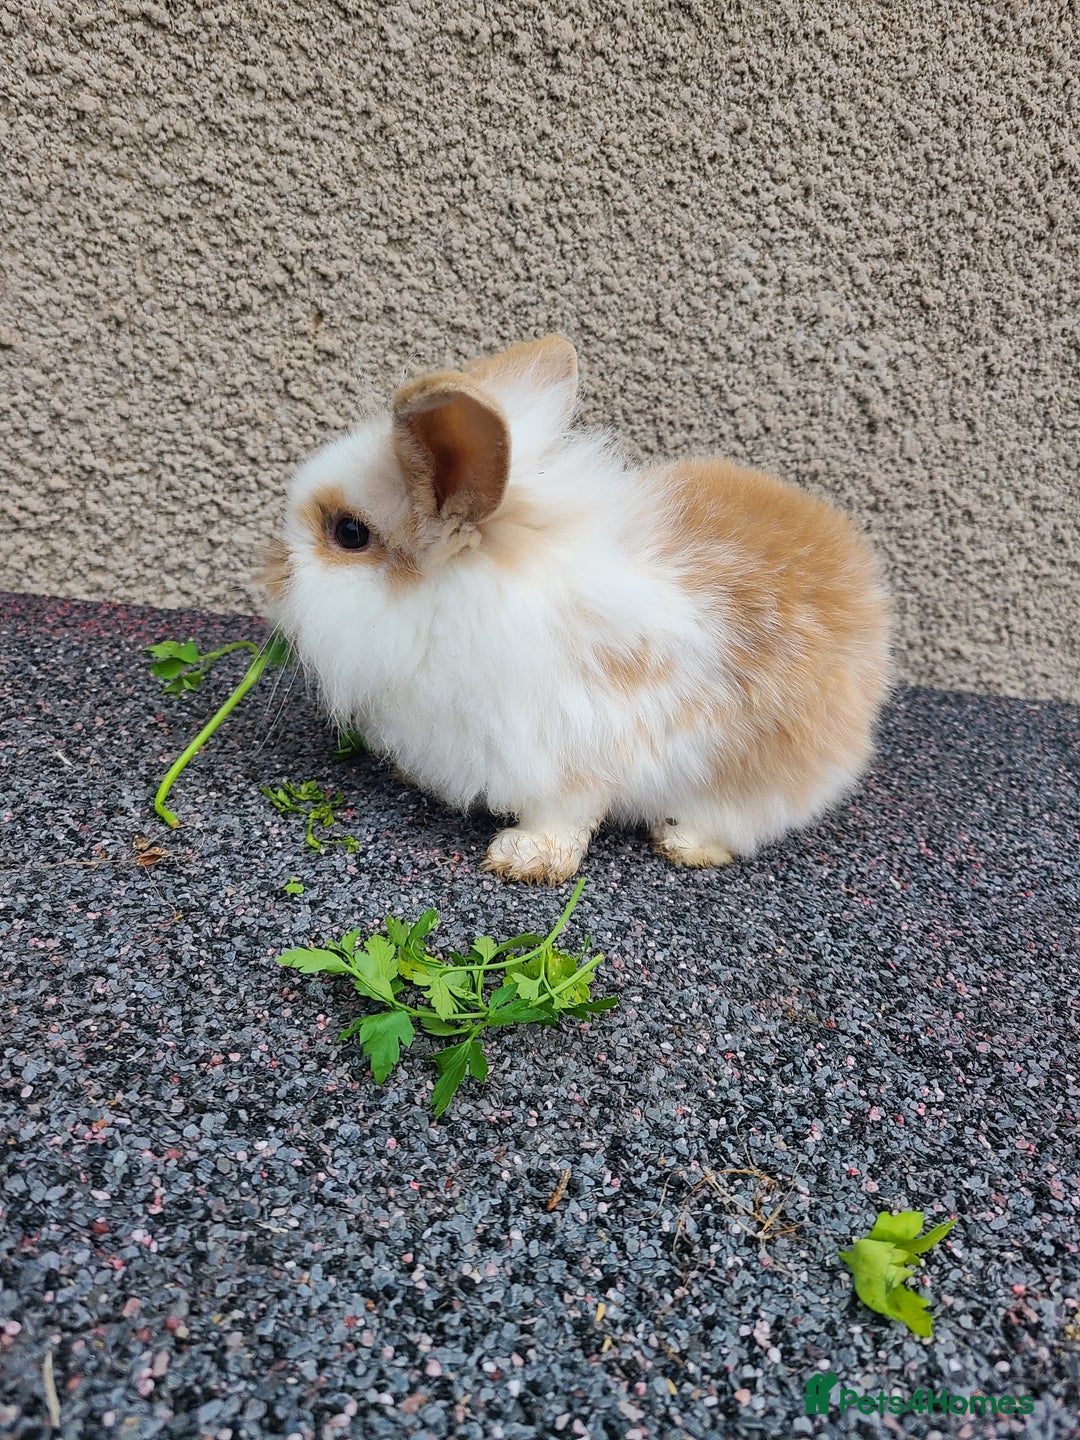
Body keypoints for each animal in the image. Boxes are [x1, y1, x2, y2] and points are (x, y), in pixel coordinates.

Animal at [264, 334, 891, 884]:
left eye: (349, 533)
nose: (271, 575)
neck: (457, 599)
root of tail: (865, 587)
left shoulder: (568, 752)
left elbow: (565, 815)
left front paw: (523, 858)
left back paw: (685, 843)